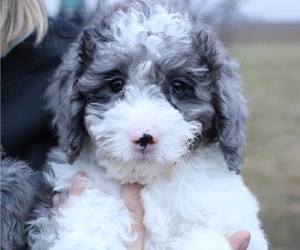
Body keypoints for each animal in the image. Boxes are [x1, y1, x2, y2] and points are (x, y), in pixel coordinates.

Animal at [27, 0, 268, 249]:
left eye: (178, 86)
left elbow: (203, 236)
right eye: (116, 84)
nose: (144, 137)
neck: (149, 181)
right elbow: (95, 205)